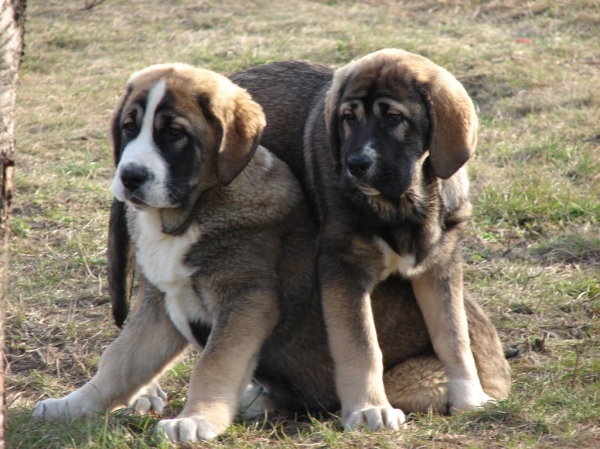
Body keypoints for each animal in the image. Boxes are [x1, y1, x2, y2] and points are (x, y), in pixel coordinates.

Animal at [232, 48, 508, 428]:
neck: (405, 203)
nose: (355, 164)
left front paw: (470, 398)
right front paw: (368, 408)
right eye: (348, 118)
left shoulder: (439, 267)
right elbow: (360, 345)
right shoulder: (344, 269)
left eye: (394, 118)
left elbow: (454, 336)